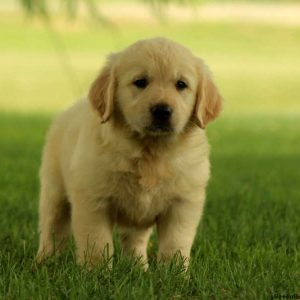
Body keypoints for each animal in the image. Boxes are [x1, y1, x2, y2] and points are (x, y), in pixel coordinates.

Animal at [36, 36, 221, 268]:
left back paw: (139, 267)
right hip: (54, 191)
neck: (150, 151)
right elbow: (97, 242)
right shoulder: (93, 199)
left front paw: (175, 272)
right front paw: (97, 272)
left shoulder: (183, 203)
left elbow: (175, 243)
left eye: (181, 85)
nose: (162, 111)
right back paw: (44, 262)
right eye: (140, 82)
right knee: (51, 228)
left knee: (135, 239)